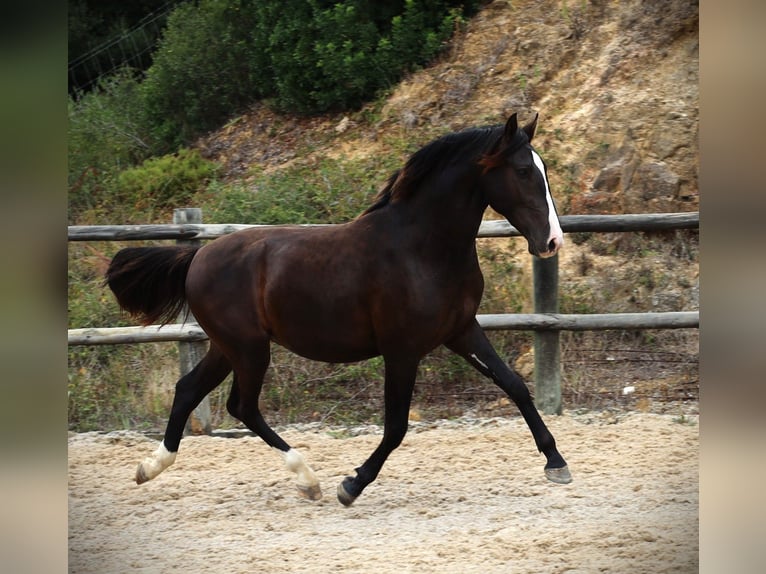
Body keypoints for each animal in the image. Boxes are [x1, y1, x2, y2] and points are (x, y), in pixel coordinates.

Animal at [109, 113, 576, 508]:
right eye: (523, 171)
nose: (552, 242)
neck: (422, 248)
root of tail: (197, 256)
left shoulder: (461, 331)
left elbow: (514, 385)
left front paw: (557, 463)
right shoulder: (402, 350)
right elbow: (396, 426)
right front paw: (351, 485)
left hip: (228, 347)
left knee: (189, 389)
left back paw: (150, 467)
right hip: (249, 348)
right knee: (242, 406)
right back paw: (308, 478)